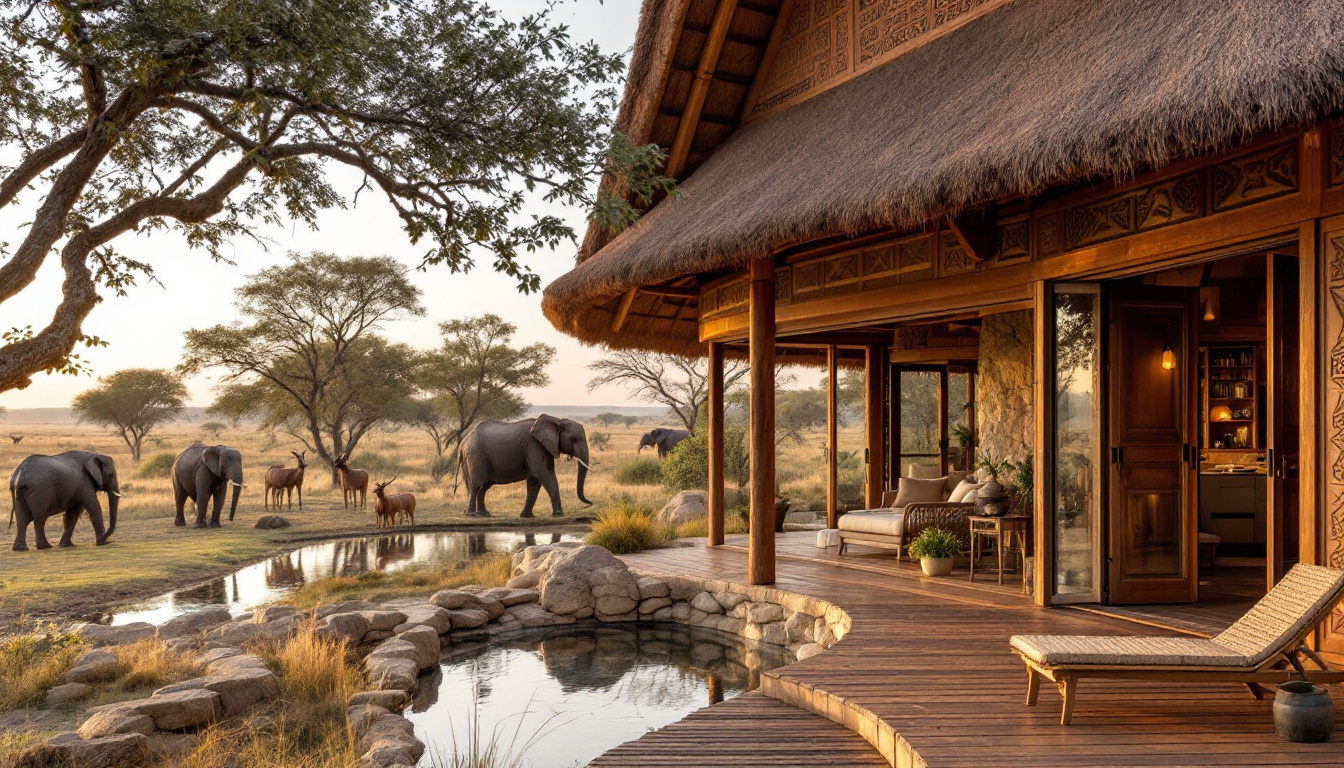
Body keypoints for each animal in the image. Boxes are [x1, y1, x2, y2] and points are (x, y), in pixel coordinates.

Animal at [456, 414, 594, 516]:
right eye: (575, 439)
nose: (589, 504)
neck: (557, 421)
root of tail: (463, 443)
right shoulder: (535, 446)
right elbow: (544, 474)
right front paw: (558, 514)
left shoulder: (541, 447)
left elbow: (534, 482)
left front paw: (526, 516)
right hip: (476, 455)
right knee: (476, 485)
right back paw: (471, 515)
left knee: (484, 486)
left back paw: (483, 514)